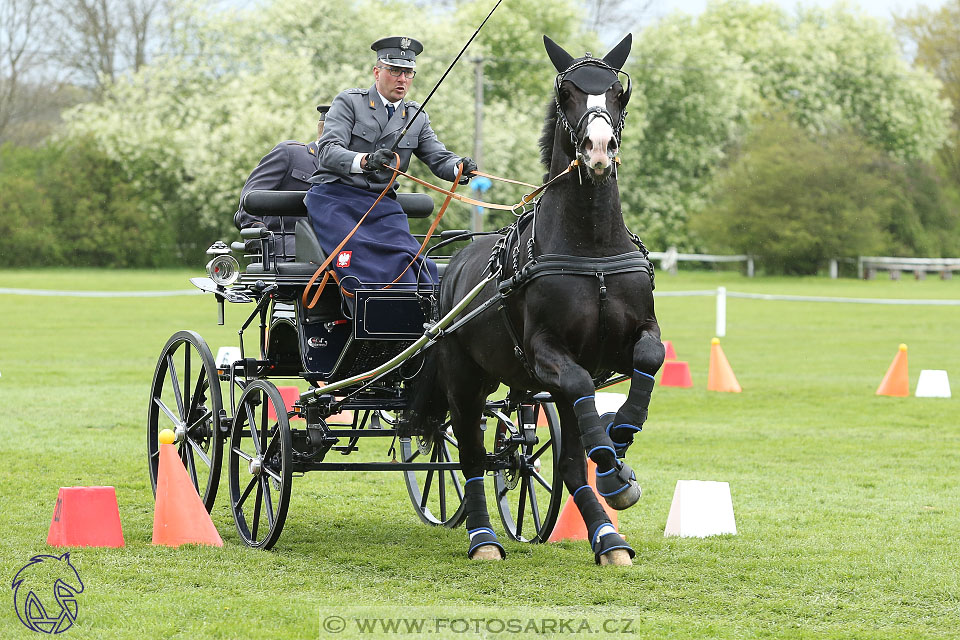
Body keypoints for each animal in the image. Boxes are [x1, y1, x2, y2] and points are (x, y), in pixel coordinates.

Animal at [408, 35, 664, 564]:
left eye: (618, 92)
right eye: (567, 92)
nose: (598, 148)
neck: (591, 248)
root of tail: (451, 265)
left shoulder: (632, 338)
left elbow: (649, 360)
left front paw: (619, 448)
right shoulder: (548, 353)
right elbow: (581, 390)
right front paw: (611, 464)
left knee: (564, 461)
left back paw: (609, 538)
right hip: (464, 381)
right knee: (470, 454)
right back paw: (483, 539)